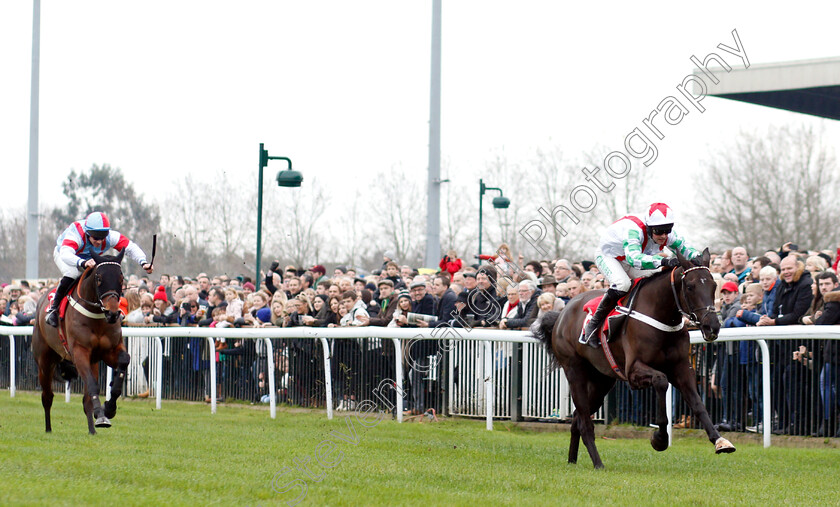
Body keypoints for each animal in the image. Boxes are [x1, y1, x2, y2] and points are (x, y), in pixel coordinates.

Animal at [32, 252, 130, 434]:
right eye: (99, 278)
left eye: (121, 278)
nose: (113, 313)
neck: (96, 316)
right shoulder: (79, 352)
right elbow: (92, 385)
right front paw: (102, 414)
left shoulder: (109, 351)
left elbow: (123, 361)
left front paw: (108, 409)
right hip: (44, 361)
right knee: (47, 396)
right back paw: (48, 429)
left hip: (92, 362)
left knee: (86, 402)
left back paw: (92, 429)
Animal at [536, 248, 732, 470]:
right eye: (690, 287)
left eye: (714, 286)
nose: (712, 326)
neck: (661, 315)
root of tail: (562, 314)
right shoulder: (634, 371)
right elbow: (661, 381)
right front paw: (660, 439)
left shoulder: (682, 368)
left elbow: (698, 404)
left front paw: (720, 441)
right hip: (574, 370)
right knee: (585, 421)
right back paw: (598, 463)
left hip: (602, 380)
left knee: (577, 417)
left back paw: (572, 460)